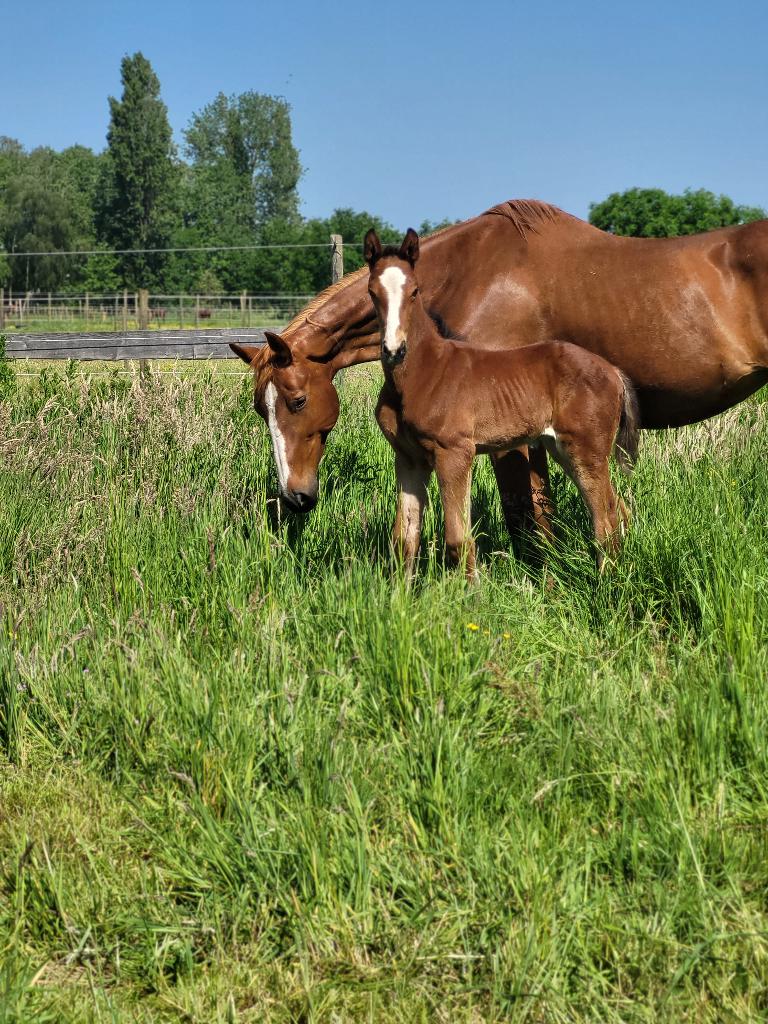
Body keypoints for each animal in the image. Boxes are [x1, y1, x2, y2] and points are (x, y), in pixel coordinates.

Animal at [231, 200, 768, 532]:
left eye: (297, 401)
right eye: (261, 409)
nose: (295, 498)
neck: (470, 275)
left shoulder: (509, 438)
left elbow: (527, 517)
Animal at [365, 228, 639, 578]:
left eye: (415, 291)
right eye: (372, 292)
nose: (394, 350)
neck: (421, 373)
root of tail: (613, 371)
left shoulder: (454, 452)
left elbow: (458, 539)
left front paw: (471, 591)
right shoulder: (409, 458)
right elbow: (404, 539)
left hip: (586, 449)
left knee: (604, 517)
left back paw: (607, 583)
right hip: (563, 448)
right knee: (616, 509)